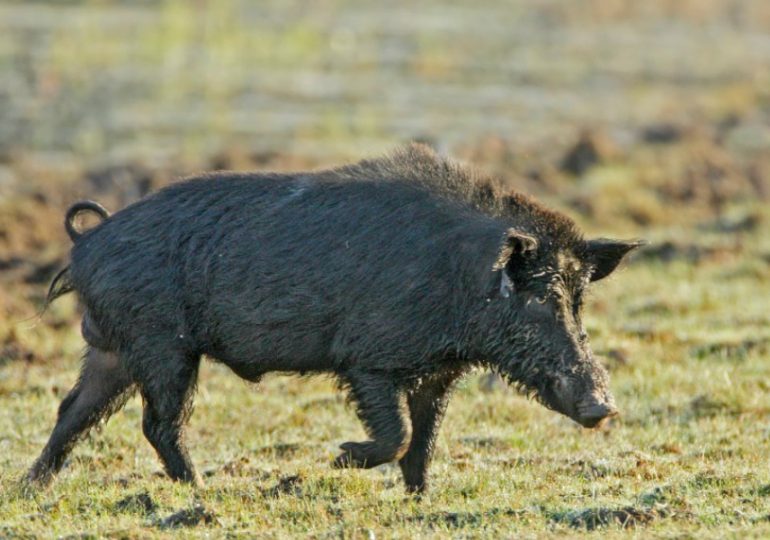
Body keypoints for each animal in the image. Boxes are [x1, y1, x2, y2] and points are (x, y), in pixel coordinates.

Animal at [27, 144, 642, 493]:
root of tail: (88, 241)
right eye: (538, 299)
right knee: (156, 423)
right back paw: (200, 490)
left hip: (113, 348)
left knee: (72, 410)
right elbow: (397, 433)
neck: (463, 280)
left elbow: (426, 438)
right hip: (162, 347)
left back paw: (32, 487)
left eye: (578, 300)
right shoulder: (368, 360)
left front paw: (421, 496)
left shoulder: (438, 372)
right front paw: (340, 458)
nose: (604, 408)